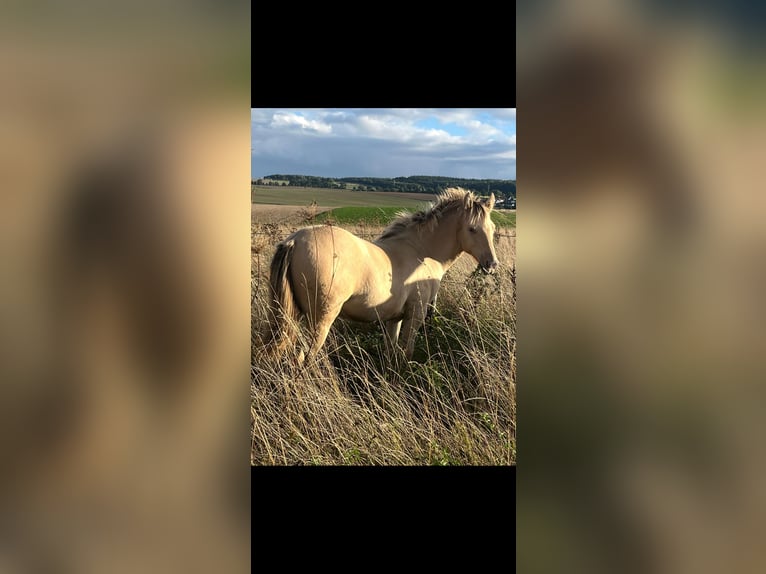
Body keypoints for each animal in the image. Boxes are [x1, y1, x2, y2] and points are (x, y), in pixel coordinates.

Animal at [263, 187, 499, 361]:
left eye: (493, 227)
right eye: (472, 229)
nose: (492, 264)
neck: (422, 251)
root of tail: (294, 241)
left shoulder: (394, 319)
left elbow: (390, 354)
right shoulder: (415, 315)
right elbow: (405, 353)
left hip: (288, 316)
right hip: (320, 321)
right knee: (303, 358)